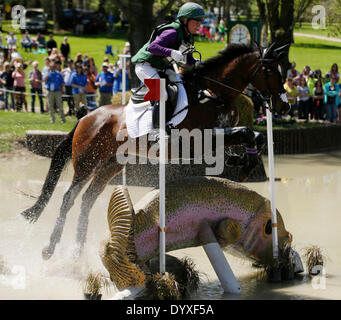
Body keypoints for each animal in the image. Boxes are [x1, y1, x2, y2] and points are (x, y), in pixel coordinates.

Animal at [19, 43, 290, 260]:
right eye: (271, 72)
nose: (284, 106)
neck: (212, 94)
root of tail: (87, 115)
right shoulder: (197, 140)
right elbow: (245, 131)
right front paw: (244, 165)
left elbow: (252, 134)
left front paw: (243, 163)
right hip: (87, 162)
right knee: (69, 198)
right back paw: (50, 249)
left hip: (111, 164)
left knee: (88, 200)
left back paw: (77, 252)